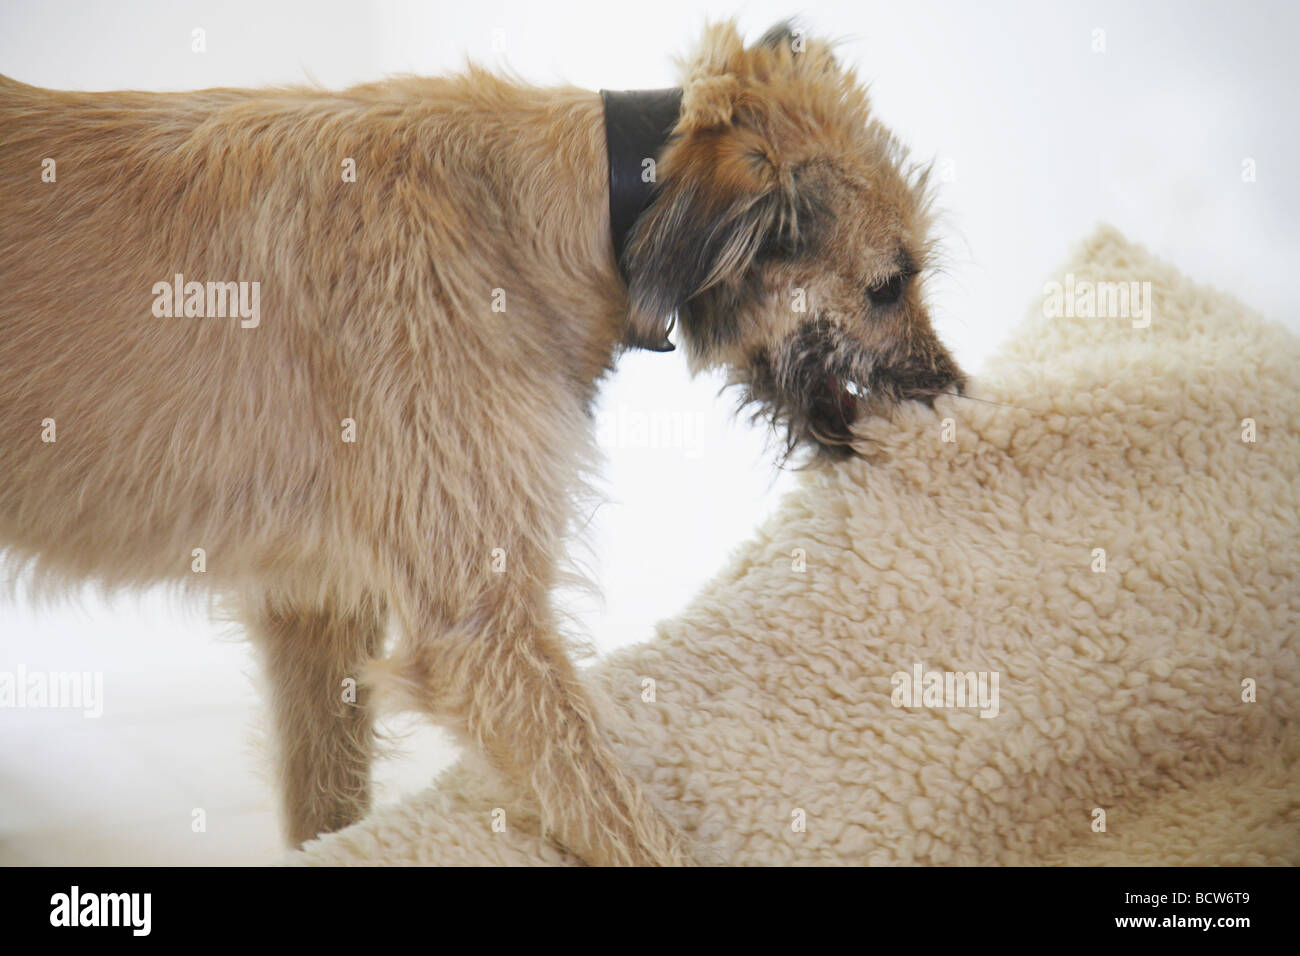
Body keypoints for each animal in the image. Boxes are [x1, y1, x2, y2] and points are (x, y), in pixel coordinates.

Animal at [0, 18, 967, 868]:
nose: (957, 393)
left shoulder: (314, 611)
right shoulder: (484, 636)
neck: (574, 215)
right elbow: (627, 820)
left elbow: (328, 802)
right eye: (889, 285)